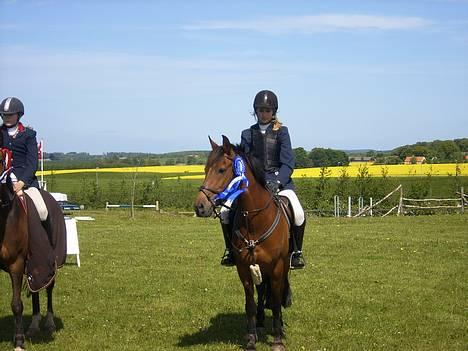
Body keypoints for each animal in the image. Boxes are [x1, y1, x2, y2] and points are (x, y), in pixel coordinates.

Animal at [0, 149, 66, 351]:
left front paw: (19, 342)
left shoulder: (16, 264)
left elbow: (16, 304)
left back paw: (48, 323)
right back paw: (34, 325)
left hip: (48, 260)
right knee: (36, 287)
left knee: (48, 286)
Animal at [195, 137, 292, 351]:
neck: (255, 219)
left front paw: (277, 340)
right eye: (205, 169)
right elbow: (250, 304)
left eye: (222, 170)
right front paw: (251, 339)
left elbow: (276, 302)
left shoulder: (278, 267)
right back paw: (261, 322)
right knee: (262, 291)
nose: (199, 207)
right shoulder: (244, 268)